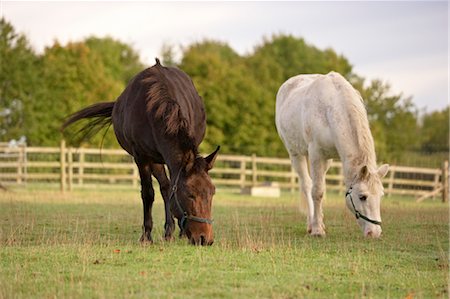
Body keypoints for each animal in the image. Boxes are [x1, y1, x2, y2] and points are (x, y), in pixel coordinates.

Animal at [62, 58, 219, 246]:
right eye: (190, 194)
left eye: (212, 193)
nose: (205, 239)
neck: (155, 111)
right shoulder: (142, 158)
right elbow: (148, 193)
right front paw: (146, 236)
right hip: (155, 160)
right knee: (165, 187)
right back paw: (168, 231)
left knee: (166, 187)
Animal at [276, 72, 388, 239]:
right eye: (362, 197)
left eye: (380, 196)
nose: (374, 233)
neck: (332, 109)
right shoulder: (316, 154)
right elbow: (317, 191)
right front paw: (317, 230)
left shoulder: (326, 158)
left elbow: (321, 190)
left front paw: (320, 225)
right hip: (295, 154)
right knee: (307, 185)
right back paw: (311, 224)